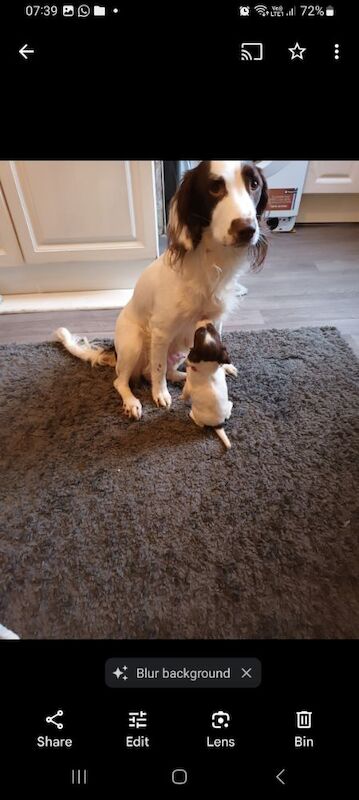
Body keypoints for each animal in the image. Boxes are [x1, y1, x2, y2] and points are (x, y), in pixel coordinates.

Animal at [56, 159, 268, 418]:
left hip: (182, 348)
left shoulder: (214, 320)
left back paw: (185, 376)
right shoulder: (161, 331)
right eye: (215, 188)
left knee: (166, 371)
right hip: (133, 344)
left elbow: (211, 344)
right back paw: (133, 402)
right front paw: (160, 395)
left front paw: (222, 366)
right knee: (124, 379)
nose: (247, 229)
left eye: (254, 184)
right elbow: (157, 370)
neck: (210, 262)